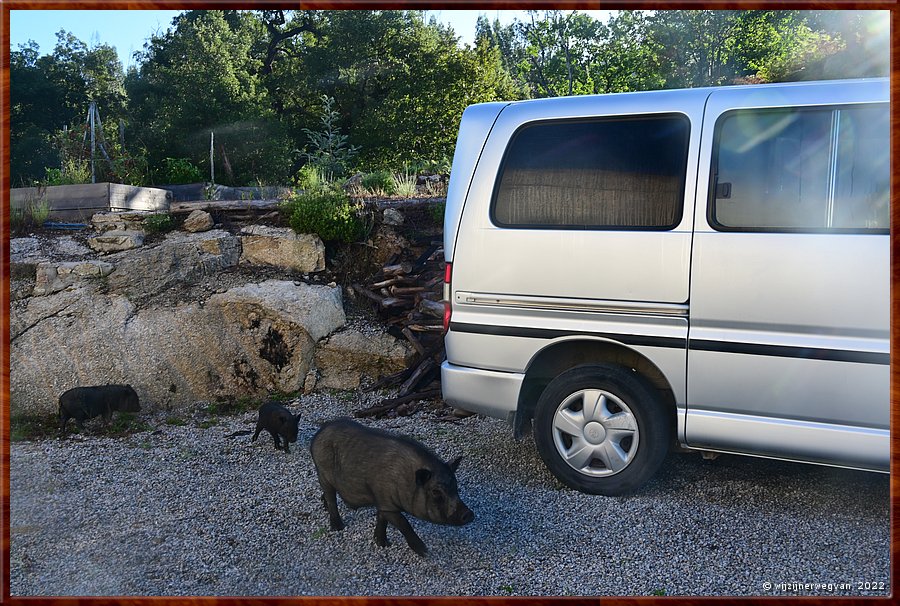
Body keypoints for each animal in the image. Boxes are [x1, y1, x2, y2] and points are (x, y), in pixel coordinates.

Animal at [310, 420, 474, 560]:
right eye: (436, 491)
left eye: (456, 487)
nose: (469, 514)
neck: (405, 480)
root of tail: (317, 435)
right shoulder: (388, 504)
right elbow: (403, 523)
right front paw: (425, 552)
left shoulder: (383, 504)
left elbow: (382, 520)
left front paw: (383, 544)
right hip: (323, 473)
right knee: (331, 497)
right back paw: (338, 527)